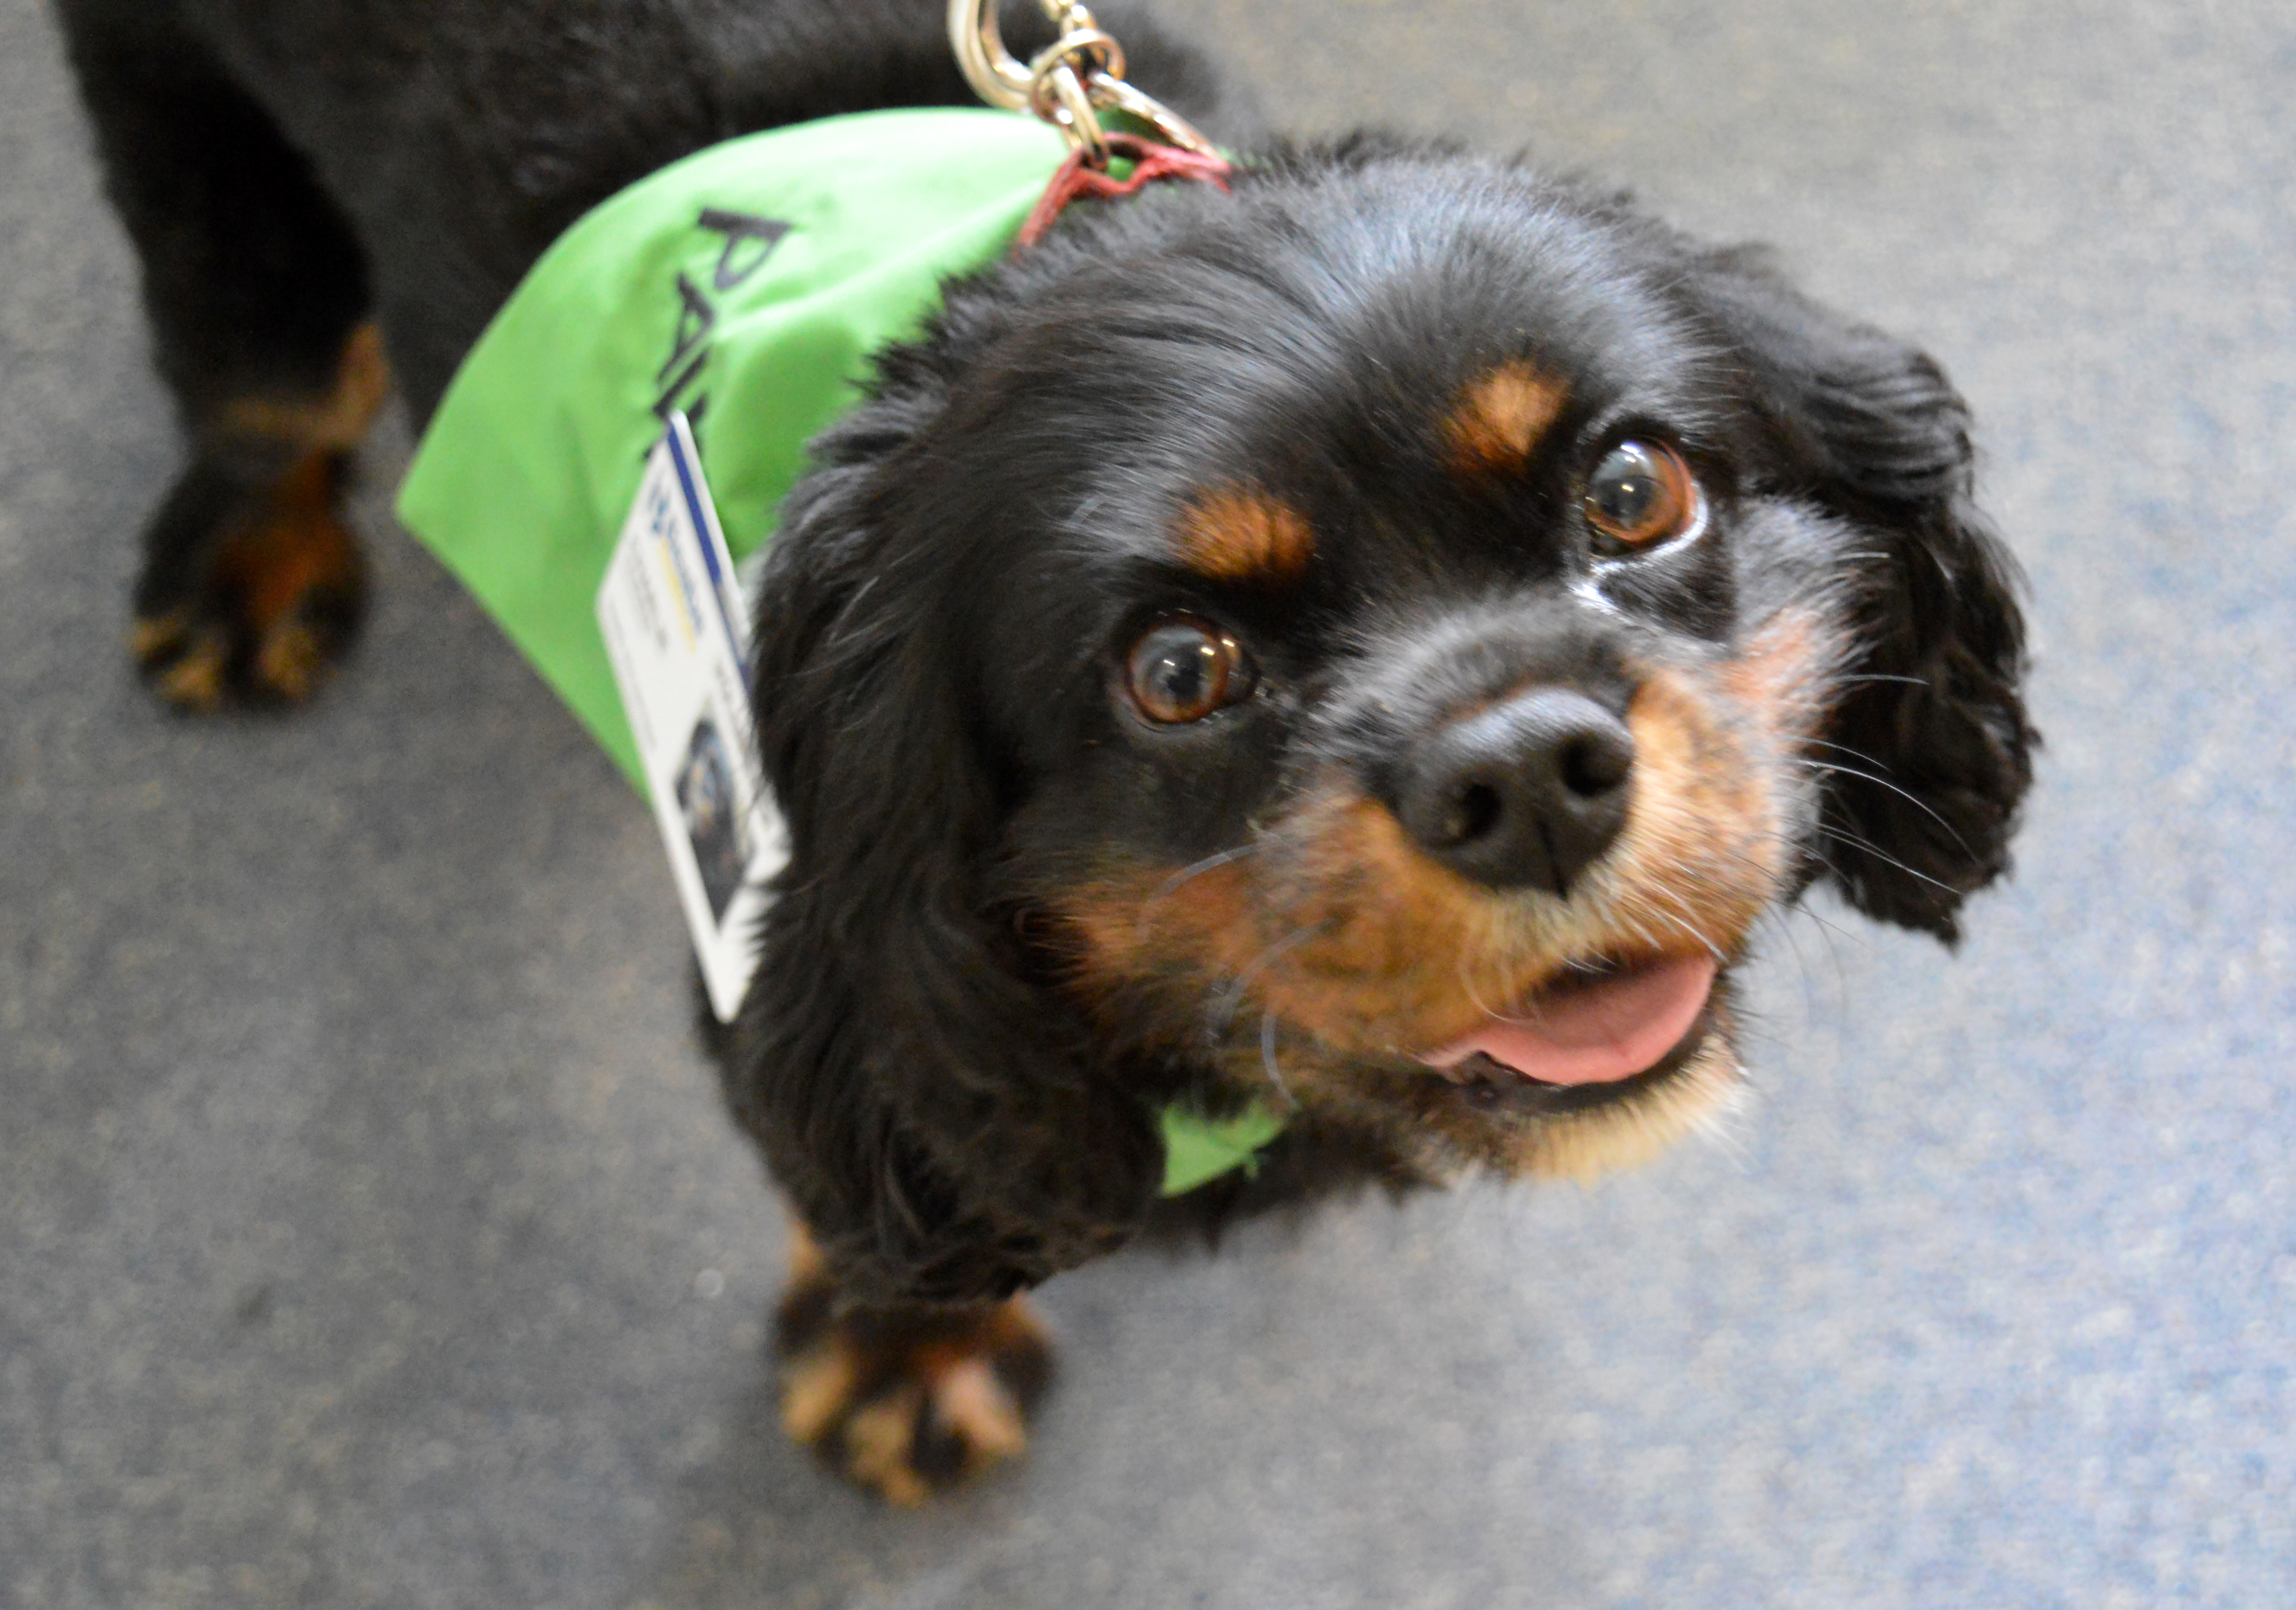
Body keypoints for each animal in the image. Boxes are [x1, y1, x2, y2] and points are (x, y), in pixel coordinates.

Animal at [58, 0, 2029, 1506]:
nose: (1528, 774)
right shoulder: (768, 938)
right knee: (262, 354)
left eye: (1631, 488)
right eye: (1176, 669)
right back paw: (246, 555)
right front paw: (906, 1351)